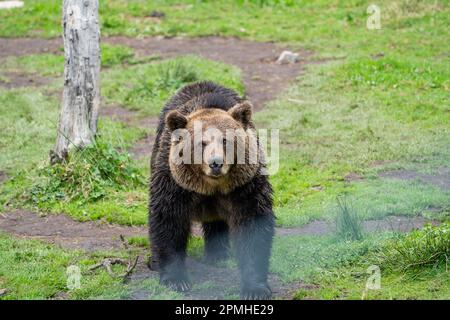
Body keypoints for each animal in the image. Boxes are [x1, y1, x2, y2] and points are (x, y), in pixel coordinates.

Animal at [149, 80, 274, 300]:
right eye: (202, 143)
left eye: (225, 140)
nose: (215, 163)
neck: (211, 185)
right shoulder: (174, 183)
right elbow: (168, 219)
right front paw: (176, 279)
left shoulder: (246, 186)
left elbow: (253, 224)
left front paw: (255, 288)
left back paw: (218, 254)